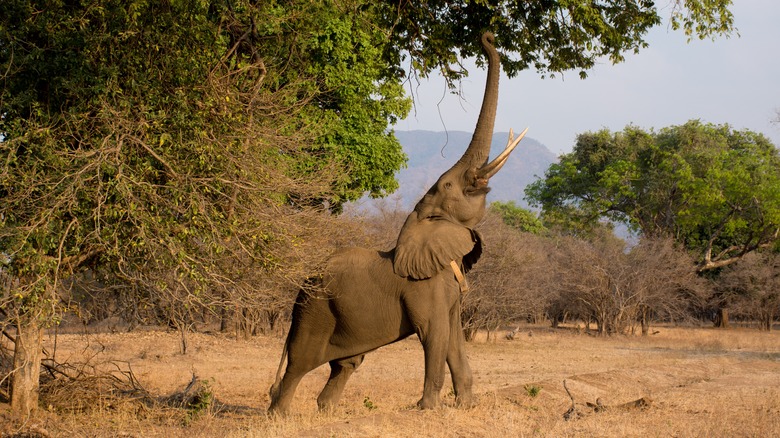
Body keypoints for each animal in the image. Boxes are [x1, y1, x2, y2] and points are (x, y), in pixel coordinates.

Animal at [266, 30, 528, 414]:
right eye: (449, 186)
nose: (488, 35)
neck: (420, 221)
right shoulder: (424, 287)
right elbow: (435, 335)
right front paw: (427, 410)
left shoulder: (447, 288)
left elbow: (454, 339)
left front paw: (465, 406)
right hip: (313, 309)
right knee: (300, 361)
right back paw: (280, 416)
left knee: (346, 363)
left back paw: (326, 410)